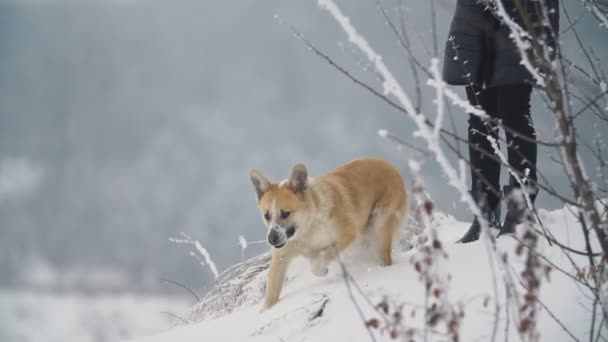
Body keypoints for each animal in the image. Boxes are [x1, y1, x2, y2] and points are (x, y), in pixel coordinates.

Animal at [247, 158, 408, 308]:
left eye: (286, 213)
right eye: (267, 215)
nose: (271, 239)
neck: (307, 229)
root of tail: (390, 166)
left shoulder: (348, 234)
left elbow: (324, 255)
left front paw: (320, 270)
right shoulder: (281, 257)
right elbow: (272, 292)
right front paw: (266, 310)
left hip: (380, 228)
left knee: (385, 258)